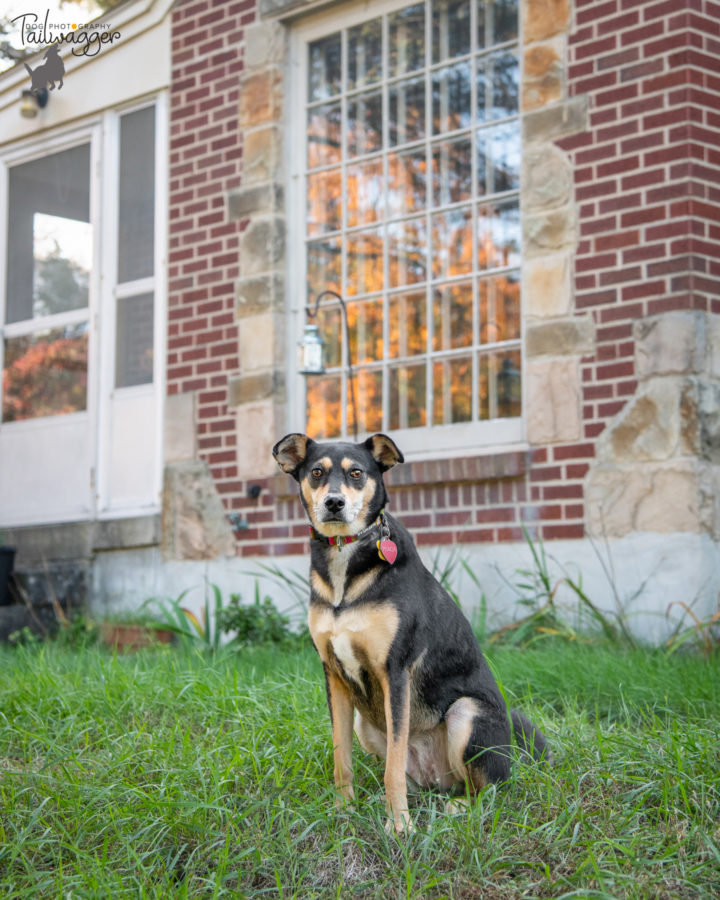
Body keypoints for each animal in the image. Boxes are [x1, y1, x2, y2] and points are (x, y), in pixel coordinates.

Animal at [272, 432, 548, 832]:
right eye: (316, 473)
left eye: (356, 473)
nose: (334, 502)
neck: (344, 555)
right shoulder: (334, 676)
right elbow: (342, 759)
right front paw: (344, 811)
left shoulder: (394, 671)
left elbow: (392, 767)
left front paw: (400, 826)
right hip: (366, 724)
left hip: (466, 713)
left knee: (491, 790)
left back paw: (458, 807)